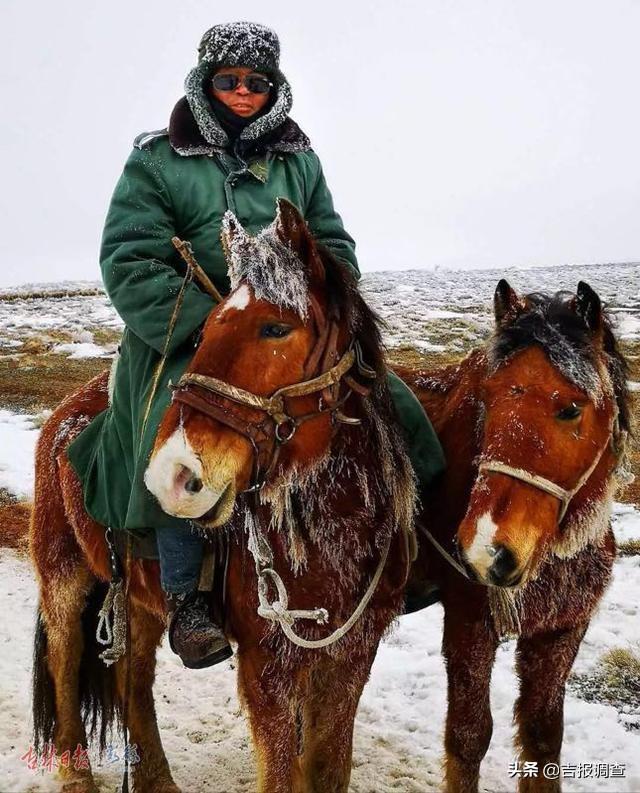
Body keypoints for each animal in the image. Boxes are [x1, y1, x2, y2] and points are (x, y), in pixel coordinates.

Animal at [31, 201, 416, 792]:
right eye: (204, 328)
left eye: (276, 327)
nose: (171, 474)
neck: (331, 532)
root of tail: (63, 415)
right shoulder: (268, 669)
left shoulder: (349, 658)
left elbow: (329, 767)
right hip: (63, 575)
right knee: (65, 660)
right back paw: (76, 773)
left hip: (139, 599)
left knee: (131, 679)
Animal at [400, 282, 632, 792]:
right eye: (486, 399)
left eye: (570, 408)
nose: (487, 552)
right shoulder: (469, 624)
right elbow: (468, 738)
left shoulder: (561, 631)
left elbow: (543, 740)